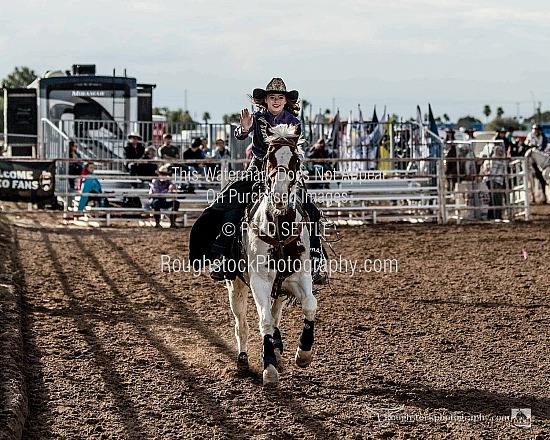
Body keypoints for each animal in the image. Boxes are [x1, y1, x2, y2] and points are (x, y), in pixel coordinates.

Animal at [225, 123, 320, 384]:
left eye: (296, 159)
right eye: (269, 157)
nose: (279, 196)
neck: (279, 227)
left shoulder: (300, 277)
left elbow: (310, 305)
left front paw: (303, 354)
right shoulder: (260, 281)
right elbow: (264, 321)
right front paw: (269, 368)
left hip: (281, 288)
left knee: (276, 313)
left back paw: (278, 349)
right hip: (236, 285)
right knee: (241, 323)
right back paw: (243, 359)